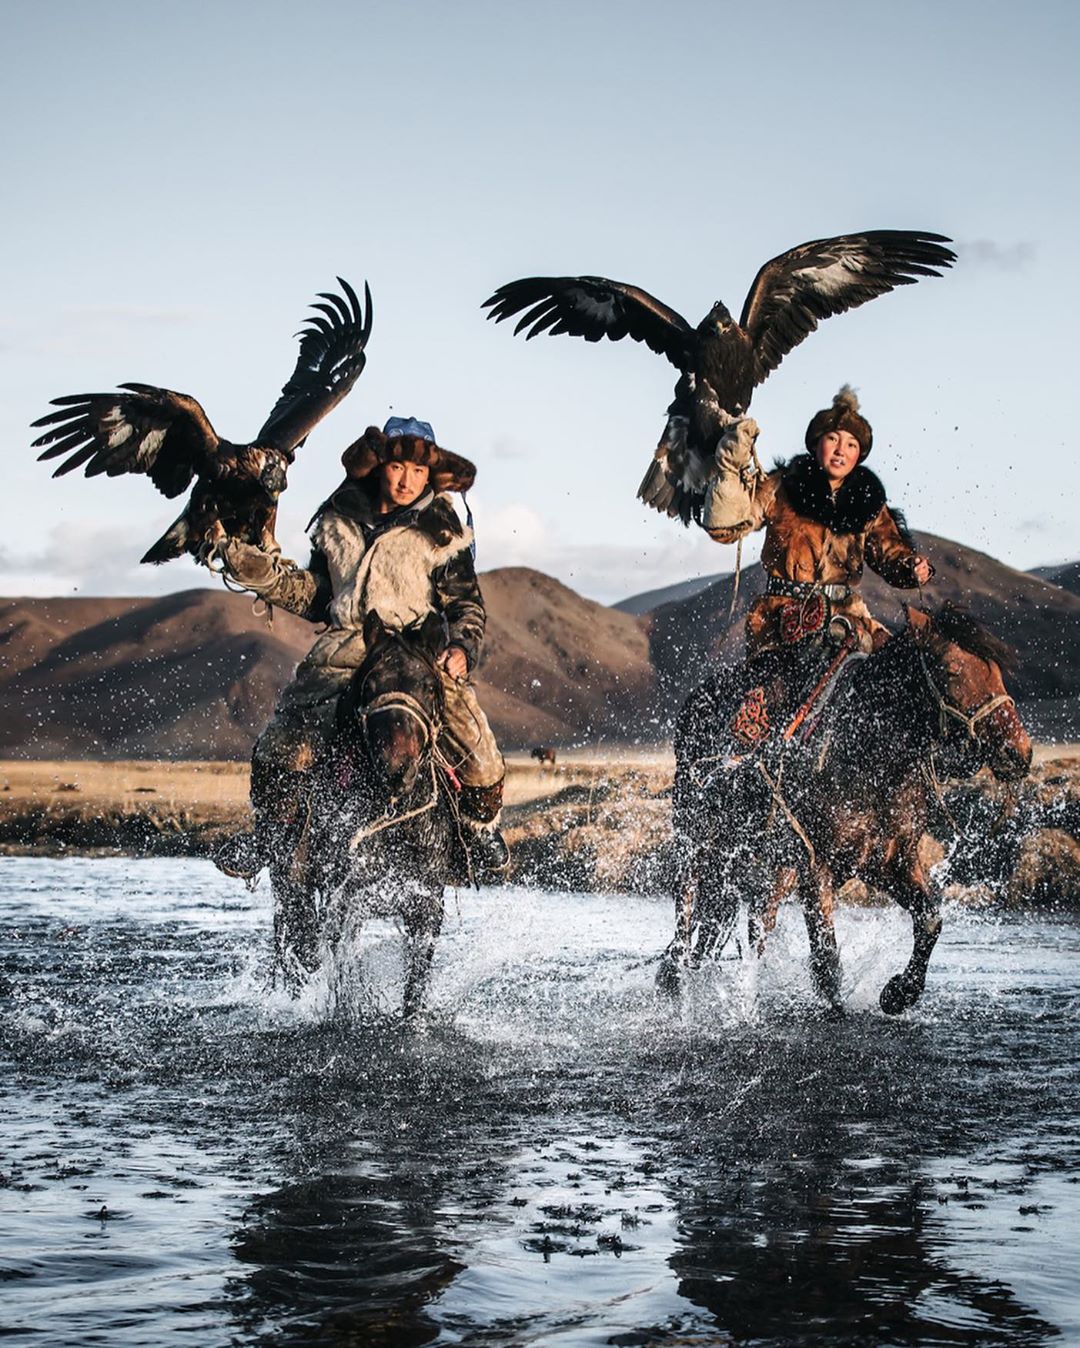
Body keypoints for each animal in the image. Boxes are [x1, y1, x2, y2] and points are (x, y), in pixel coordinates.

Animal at [269, 617, 463, 1013]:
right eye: (369, 686)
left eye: (430, 687)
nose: (396, 769)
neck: (391, 819)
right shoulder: (344, 904)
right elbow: (341, 980)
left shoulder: (426, 906)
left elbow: (415, 987)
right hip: (293, 891)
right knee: (299, 950)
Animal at [657, 606, 1030, 1013]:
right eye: (951, 670)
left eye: (997, 671)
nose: (1019, 752)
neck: (869, 760)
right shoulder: (813, 866)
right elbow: (827, 961)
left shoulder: (891, 860)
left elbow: (929, 920)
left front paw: (899, 992)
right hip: (698, 837)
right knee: (690, 907)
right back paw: (675, 978)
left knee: (738, 920)